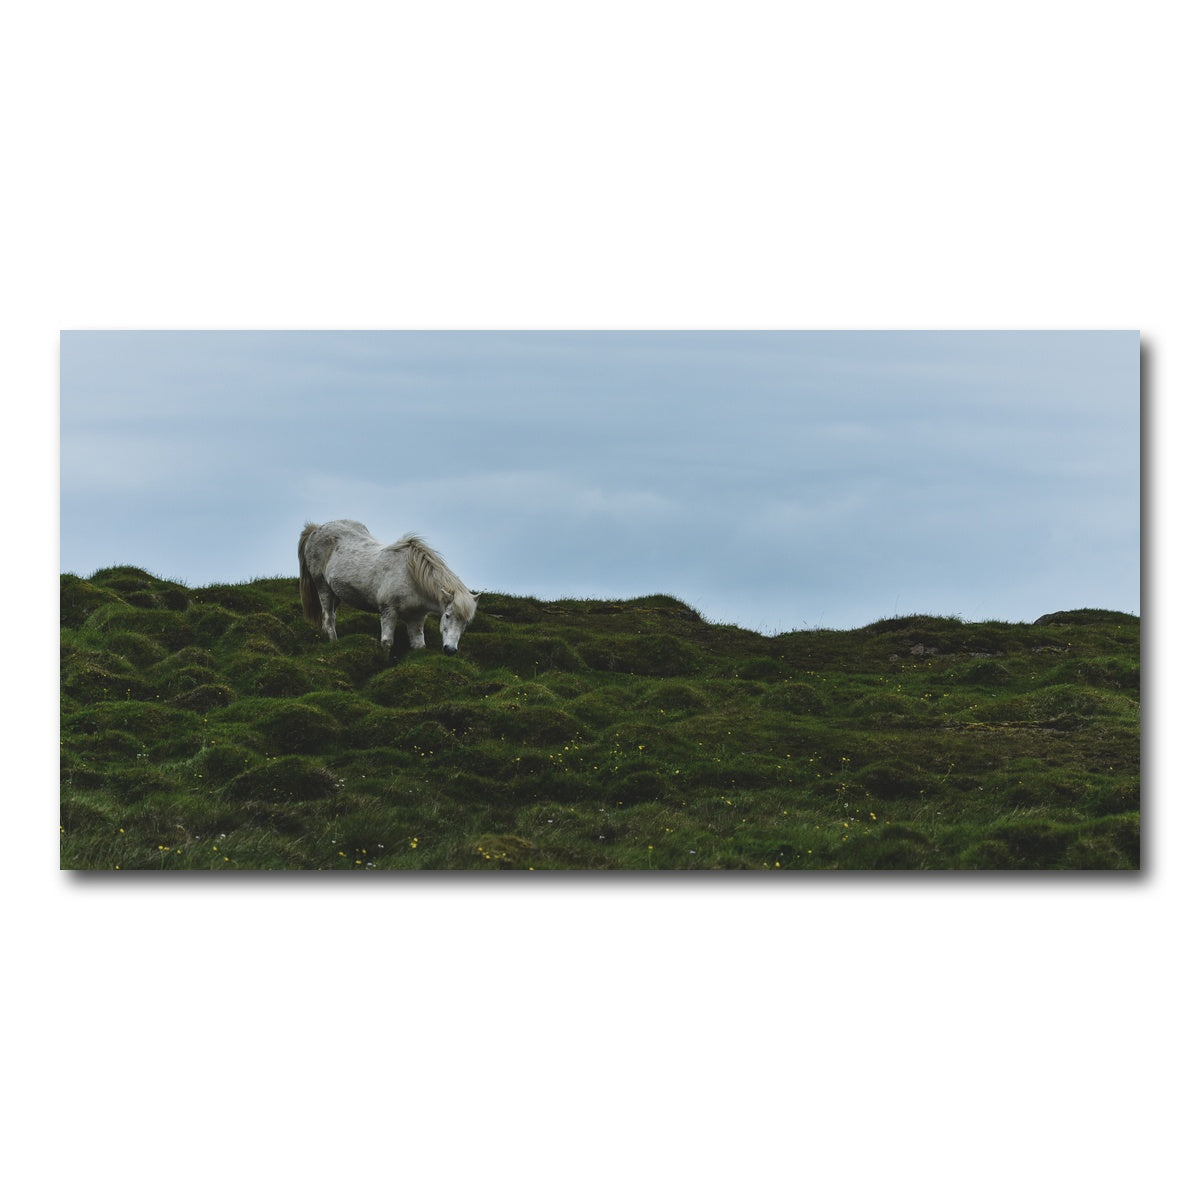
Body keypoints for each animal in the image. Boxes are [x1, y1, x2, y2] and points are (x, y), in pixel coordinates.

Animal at [298, 520, 479, 655]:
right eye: (447, 615)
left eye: (466, 623)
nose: (450, 650)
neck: (412, 577)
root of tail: (316, 529)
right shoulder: (388, 611)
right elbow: (387, 643)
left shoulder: (416, 618)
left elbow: (419, 646)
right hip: (323, 587)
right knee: (329, 618)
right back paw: (334, 644)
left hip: (336, 593)